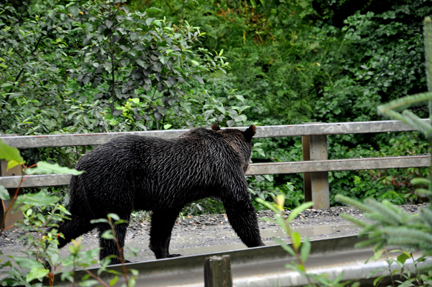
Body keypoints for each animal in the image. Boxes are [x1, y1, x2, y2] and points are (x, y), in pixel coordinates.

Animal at [54, 125, 264, 264]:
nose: (249, 167)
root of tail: (80, 164)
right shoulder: (224, 168)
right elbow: (239, 203)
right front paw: (258, 242)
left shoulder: (171, 192)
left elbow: (162, 222)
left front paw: (166, 253)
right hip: (113, 184)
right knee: (115, 222)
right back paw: (118, 260)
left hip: (85, 194)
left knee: (75, 220)